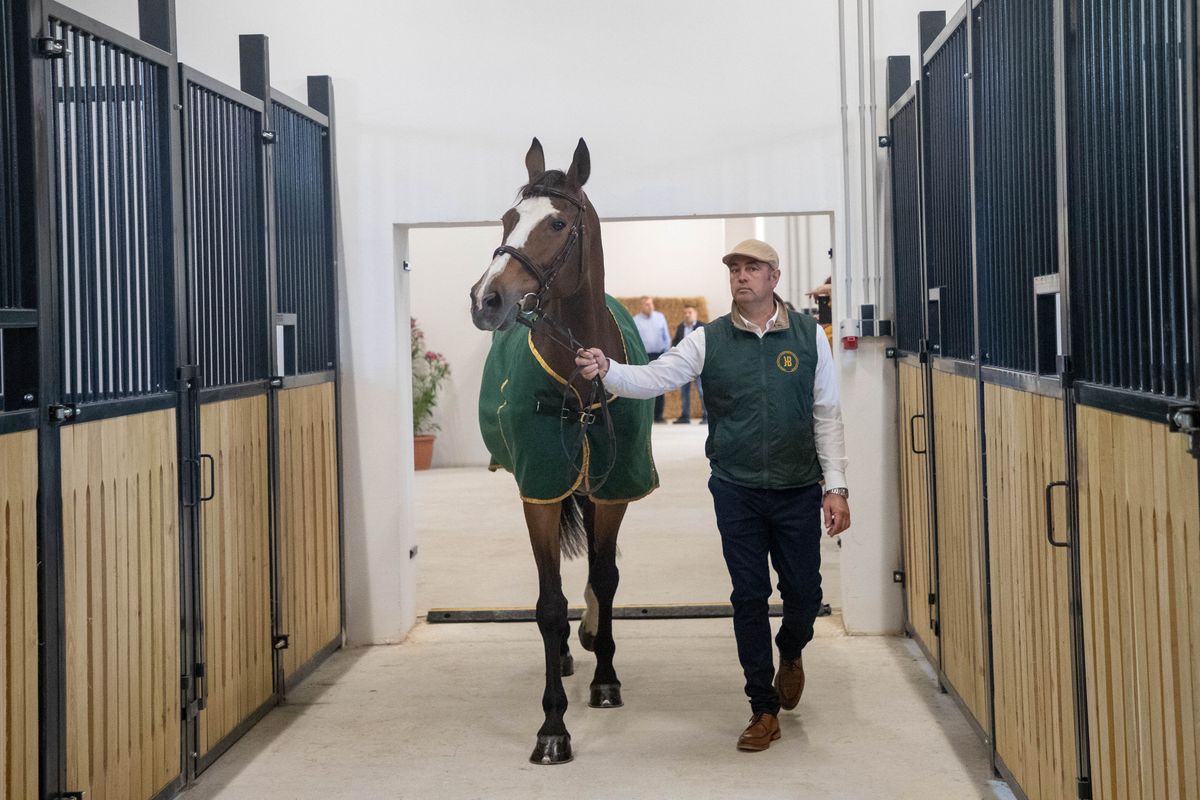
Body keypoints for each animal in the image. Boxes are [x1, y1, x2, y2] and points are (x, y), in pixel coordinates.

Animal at [468, 140, 657, 767]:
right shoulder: (542, 492)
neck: (578, 383)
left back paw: (595, 642)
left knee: (603, 572)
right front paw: (553, 726)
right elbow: (548, 605)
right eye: (508, 219)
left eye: (556, 223)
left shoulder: (614, 489)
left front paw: (606, 679)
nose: (486, 299)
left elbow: (606, 577)